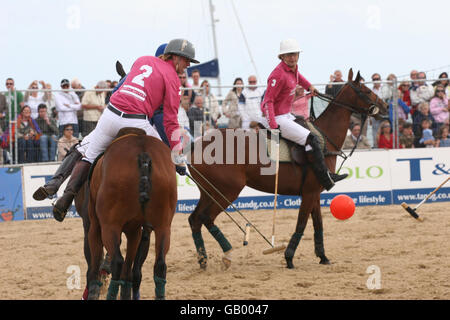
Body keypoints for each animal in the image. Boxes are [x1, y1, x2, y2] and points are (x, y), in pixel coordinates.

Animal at [85, 128, 177, 300]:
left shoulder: (96, 226)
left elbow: (96, 265)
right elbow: (128, 272)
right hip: (163, 225)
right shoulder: (135, 231)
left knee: (117, 262)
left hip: (110, 226)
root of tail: (143, 153)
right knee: (160, 264)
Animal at [188, 70, 388, 270]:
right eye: (366, 90)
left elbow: (318, 224)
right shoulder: (309, 192)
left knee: (195, 218)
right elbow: (301, 224)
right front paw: (289, 257)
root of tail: (195, 146)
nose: (385, 107)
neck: (325, 138)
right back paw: (226, 254)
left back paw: (203, 260)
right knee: (206, 217)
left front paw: (323, 257)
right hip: (228, 190)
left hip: (209, 191)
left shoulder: (315, 192)